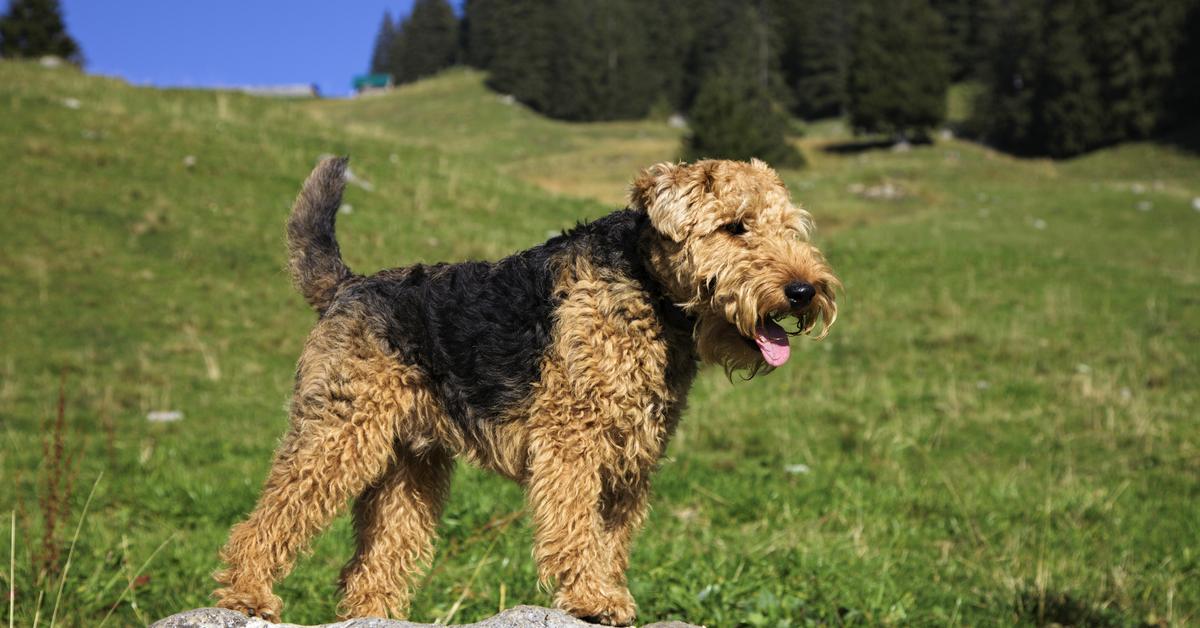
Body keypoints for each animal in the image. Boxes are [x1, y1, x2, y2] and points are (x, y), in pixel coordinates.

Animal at [211, 156, 840, 624]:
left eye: (791, 227)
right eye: (735, 226)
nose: (804, 291)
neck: (647, 288)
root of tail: (347, 286)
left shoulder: (632, 454)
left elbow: (610, 538)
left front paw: (610, 594)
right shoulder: (574, 440)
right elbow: (575, 527)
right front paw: (593, 599)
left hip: (409, 465)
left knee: (374, 559)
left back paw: (373, 612)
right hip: (336, 434)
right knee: (265, 520)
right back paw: (249, 596)